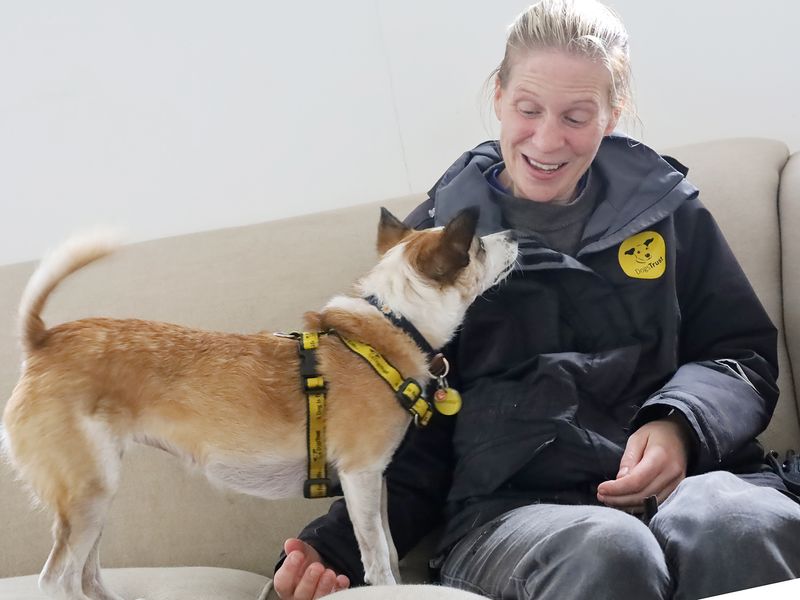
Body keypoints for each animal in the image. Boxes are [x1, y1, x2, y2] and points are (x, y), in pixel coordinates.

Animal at [1, 207, 520, 600]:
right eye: (478, 246)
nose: (514, 233)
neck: (392, 322)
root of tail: (43, 341)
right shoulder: (361, 475)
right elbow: (376, 560)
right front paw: (388, 588)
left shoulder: (377, 481)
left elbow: (388, 547)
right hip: (88, 494)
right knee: (59, 580)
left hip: (97, 493)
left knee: (87, 575)